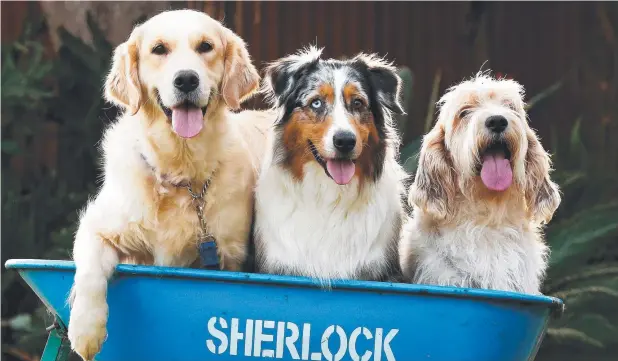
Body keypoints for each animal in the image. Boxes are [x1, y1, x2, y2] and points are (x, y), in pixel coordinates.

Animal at [66, 9, 274, 358]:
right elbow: (90, 272)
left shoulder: (229, 254)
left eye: (205, 46)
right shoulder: (97, 226)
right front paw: (85, 330)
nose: (186, 79)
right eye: (159, 49)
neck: (180, 173)